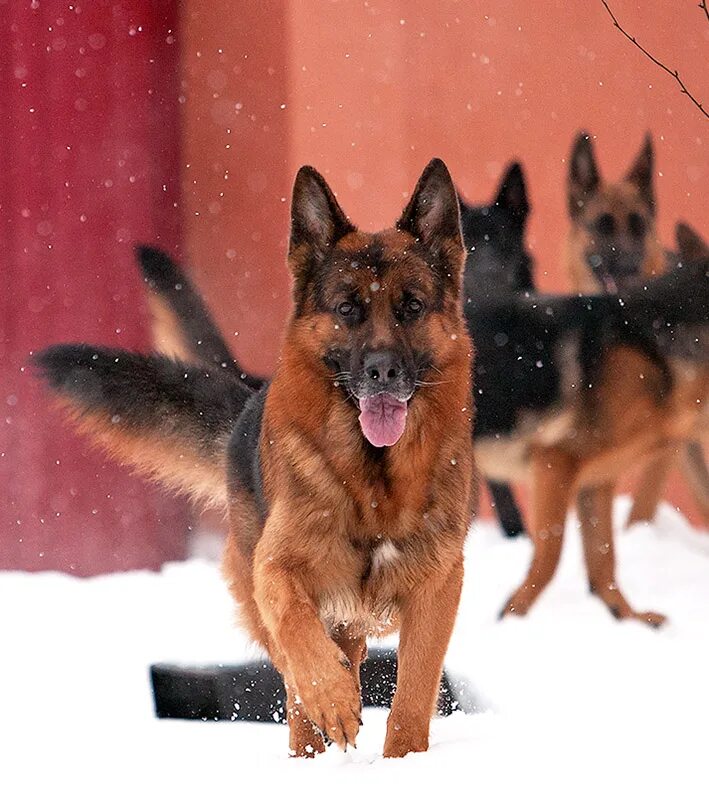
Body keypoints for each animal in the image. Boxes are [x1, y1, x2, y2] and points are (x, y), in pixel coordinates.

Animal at [36, 158, 476, 756]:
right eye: (347, 309)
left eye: (411, 307)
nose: (382, 370)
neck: (373, 478)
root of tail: (251, 395)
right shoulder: (277, 569)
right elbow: (301, 638)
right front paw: (333, 701)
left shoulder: (437, 587)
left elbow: (413, 693)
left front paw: (404, 760)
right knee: (295, 680)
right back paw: (314, 741)